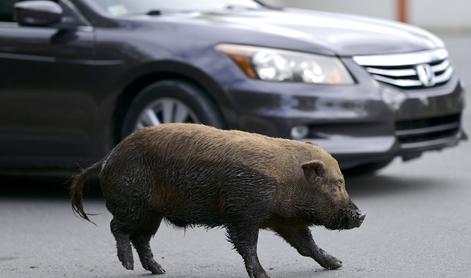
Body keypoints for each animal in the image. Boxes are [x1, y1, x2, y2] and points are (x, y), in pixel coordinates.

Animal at [70, 124, 366, 278]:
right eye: (336, 185)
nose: (361, 215)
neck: (286, 181)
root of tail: (106, 159)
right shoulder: (242, 212)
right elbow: (247, 245)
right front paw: (263, 275)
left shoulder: (285, 221)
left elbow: (307, 245)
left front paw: (337, 264)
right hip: (132, 204)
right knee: (117, 228)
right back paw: (129, 266)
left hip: (152, 213)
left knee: (141, 238)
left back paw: (160, 270)